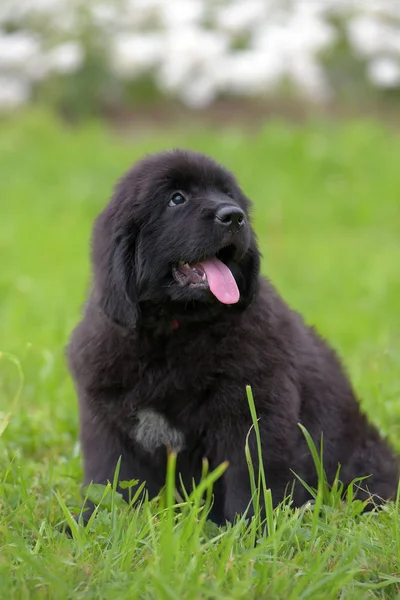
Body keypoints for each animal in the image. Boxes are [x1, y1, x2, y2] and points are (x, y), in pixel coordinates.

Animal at [67, 148, 398, 524]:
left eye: (228, 194)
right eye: (176, 199)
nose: (234, 217)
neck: (172, 333)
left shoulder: (255, 414)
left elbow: (253, 478)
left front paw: (252, 530)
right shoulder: (108, 422)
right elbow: (113, 480)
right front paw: (92, 523)